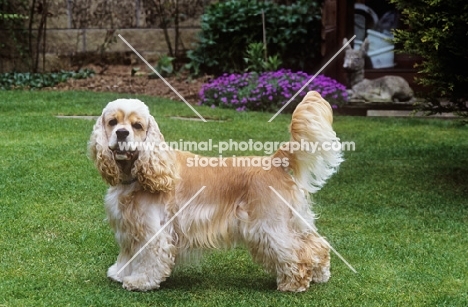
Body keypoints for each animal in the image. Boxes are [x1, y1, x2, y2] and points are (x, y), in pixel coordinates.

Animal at [88, 92, 344, 294]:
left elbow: (149, 258)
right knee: (317, 244)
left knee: (295, 252)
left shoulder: (153, 230)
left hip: (270, 225)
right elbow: (128, 254)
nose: (122, 133)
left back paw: (294, 284)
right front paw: (120, 273)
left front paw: (140, 281)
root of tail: (274, 161)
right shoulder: (128, 227)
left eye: (137, 126)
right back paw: (320, 274)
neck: (134, 176)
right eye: (112, 122)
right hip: (294, 219)